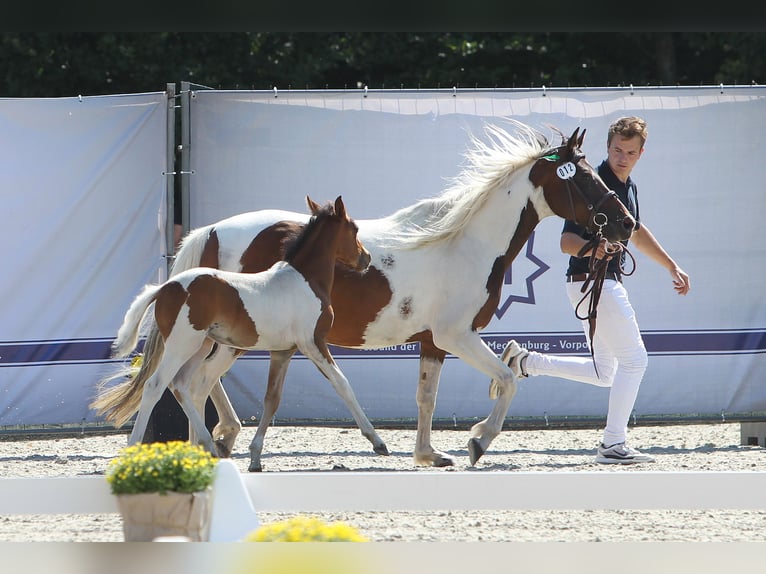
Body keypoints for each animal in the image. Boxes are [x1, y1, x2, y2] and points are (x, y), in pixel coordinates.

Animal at [88, 196, 374, 462]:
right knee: (156, 385)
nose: (366, 258)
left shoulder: (283, 350)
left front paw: (255, 456)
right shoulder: (312, 342)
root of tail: (166, 287)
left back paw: (207, 444)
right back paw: (141, 446)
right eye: (354, 229)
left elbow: (271, 398)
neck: (304, 279)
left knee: (182, 385)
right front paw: (376, 441)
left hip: (200, 346)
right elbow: (341, 383)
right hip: (182, 345)